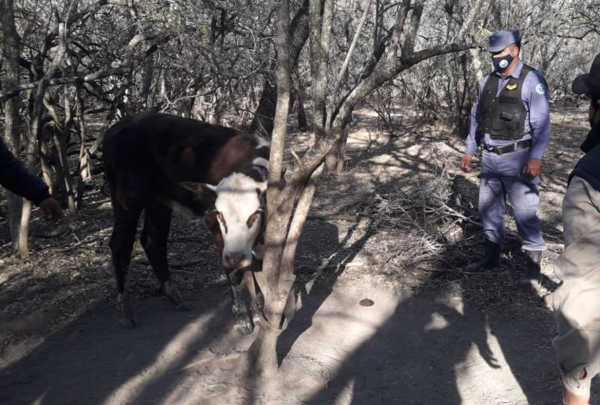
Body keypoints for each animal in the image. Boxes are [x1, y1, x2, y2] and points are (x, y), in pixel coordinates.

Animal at [103, 112, 270, 332]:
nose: (235, 255)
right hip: (126, 200)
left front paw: (261, 312)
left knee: (153, 242)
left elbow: (256, 267)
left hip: (158, 202)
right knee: (120, 245)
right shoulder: (214, 224)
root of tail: (115, 128)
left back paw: (175, 297)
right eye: (220, 214)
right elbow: (234, 272)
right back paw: (126, 311)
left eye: (254, 214)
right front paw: (242, 317)